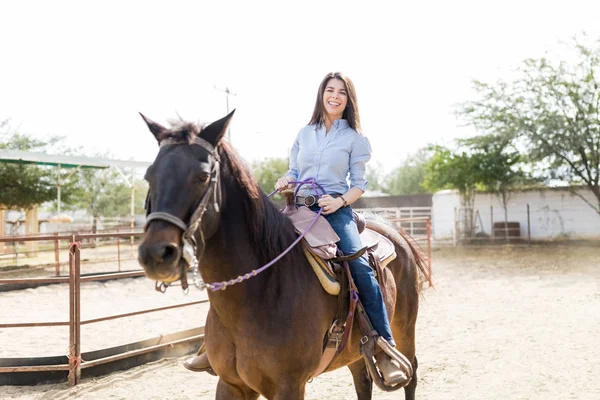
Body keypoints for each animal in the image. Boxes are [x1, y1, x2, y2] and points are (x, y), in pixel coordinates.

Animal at [138, 110, 428, 400]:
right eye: (149, 176)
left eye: (202, 176)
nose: (156, 253)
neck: (258, 295)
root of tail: (392, 230)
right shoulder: (230, 384)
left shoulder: (289, 386)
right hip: (353, 350)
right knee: (362, 380)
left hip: (405, 327)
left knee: (411, 373)